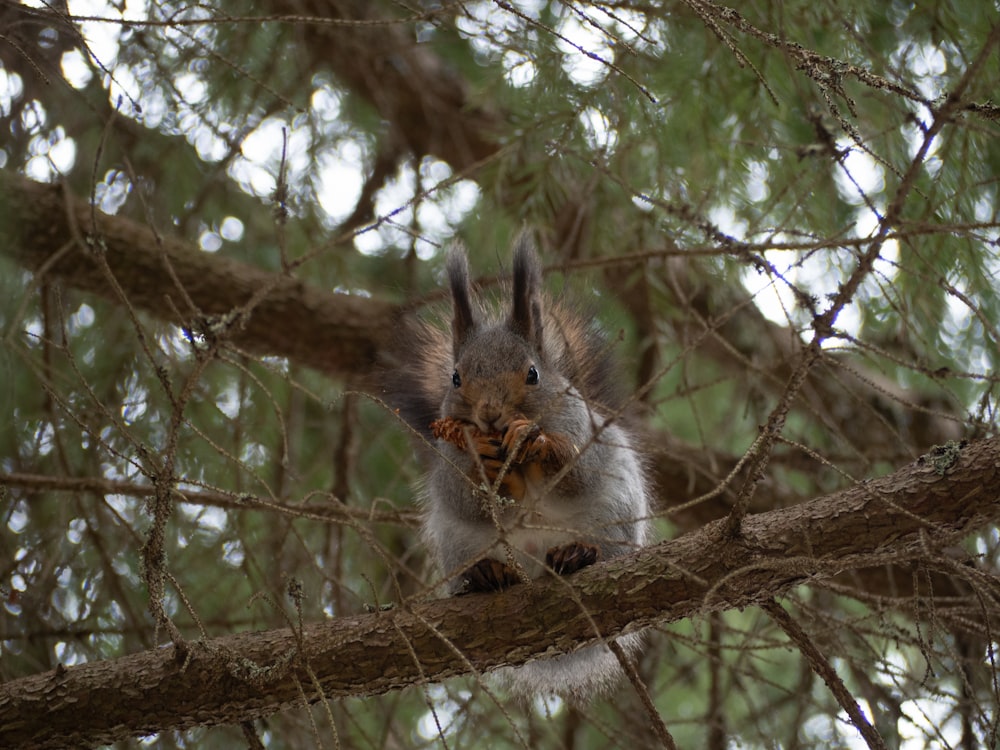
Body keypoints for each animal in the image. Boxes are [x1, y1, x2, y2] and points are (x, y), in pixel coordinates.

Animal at [380, 236, 648, 704]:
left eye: (533, 374)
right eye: (455, 378)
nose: (490, 415)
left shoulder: (584, 431)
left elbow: (578, 472)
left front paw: (536, 443)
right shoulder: (447, 459)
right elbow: (462, 495)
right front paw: (483, 463)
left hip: (615, 515)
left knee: (604, 550)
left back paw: (577, 556)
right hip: (457, 542)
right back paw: (486, 575)